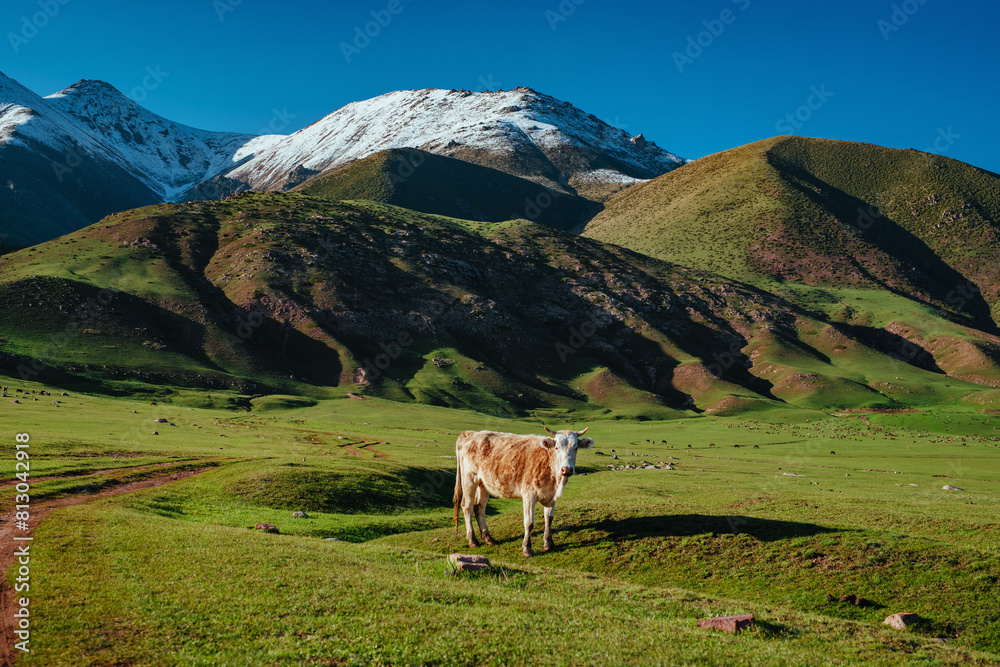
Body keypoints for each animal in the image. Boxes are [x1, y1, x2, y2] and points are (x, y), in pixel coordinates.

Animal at [453, 425, 593, 557]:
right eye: (557, 447)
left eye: (576, 448)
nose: (567, 469)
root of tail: (471, 434)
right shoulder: (528, 494)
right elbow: (529, 523)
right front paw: (527, 548)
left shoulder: (551, 497)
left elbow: (549, 519)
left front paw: (548, 543)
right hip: (469, 479)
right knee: (467, 506)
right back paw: (473, 540)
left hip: (484, 483)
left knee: (479, 507)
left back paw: (488, 538)